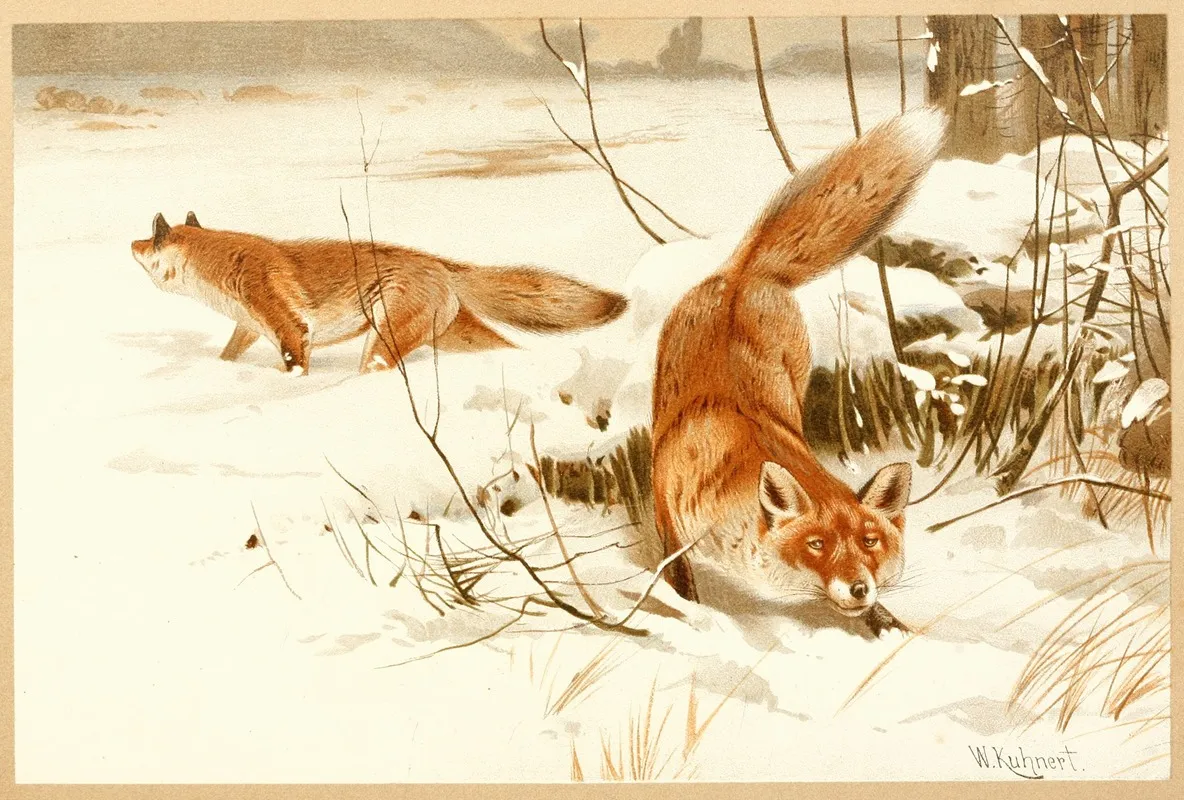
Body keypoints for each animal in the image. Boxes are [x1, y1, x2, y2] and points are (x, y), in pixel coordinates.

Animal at [130, 213, 627, 374]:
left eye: (150, 239)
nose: (129, 243)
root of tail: (441, 264)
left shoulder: (291, 330)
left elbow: (295, 368)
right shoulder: (250, 327)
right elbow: (228, 356)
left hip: (382, 342)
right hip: (452, 336)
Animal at [651, 108, 947, 637]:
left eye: (870, 542)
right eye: (817, 545)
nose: (859, 588)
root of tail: (743, 273)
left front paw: (891, 629)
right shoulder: (670, 512)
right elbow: (679, 579)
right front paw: (692, 614)